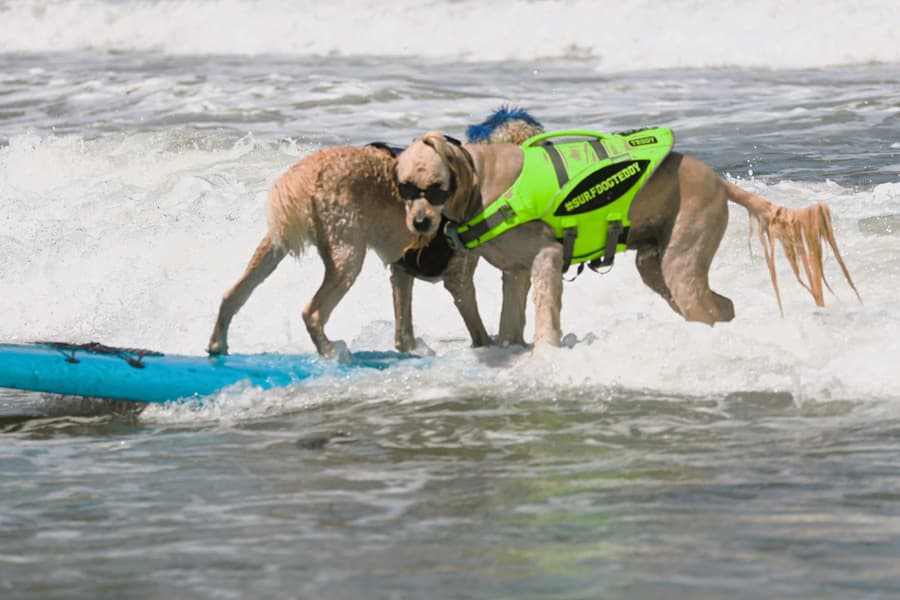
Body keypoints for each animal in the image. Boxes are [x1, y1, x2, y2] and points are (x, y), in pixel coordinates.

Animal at [206, 110, 540, 356]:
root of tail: (306, 171)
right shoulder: (459, 279)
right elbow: (478, 329)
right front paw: (492, 346)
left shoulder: (401, 271)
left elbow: (403, 324)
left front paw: (410, 348)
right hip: (348, 255)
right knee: (311, 312)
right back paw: (331, 353)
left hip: (275, 244)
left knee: (233, 293)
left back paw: (217, 344)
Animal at [398, 131, 860, 346]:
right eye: (404, 187)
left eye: (435, 187)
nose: (419, 223)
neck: (479, 180)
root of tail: (720, 180)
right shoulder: (515, 273)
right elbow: (510, 323)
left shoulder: (545, 258)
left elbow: (546, 317)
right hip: (654, 265)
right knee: (722, 306)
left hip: (680, 260)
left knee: (707, 307)